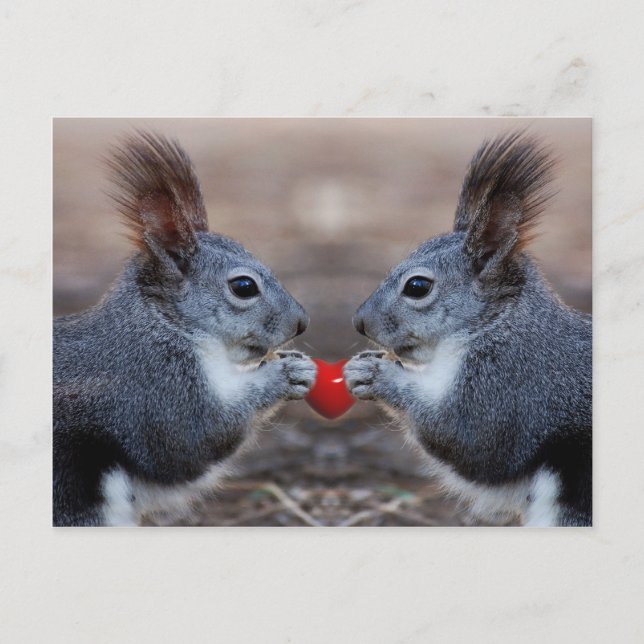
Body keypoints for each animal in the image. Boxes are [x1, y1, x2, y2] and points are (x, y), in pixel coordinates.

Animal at [53, 131, 316, 526]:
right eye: (243, 286)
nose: (300, 323)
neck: (164, 325)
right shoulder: (153, 388)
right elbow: (193, 441)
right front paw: (284, 374)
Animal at [344, 132, 591, 527]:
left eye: (417, 287)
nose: (360, 322)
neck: (497, 323)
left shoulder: (514, 385)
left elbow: (469, 439)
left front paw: (376, 375)